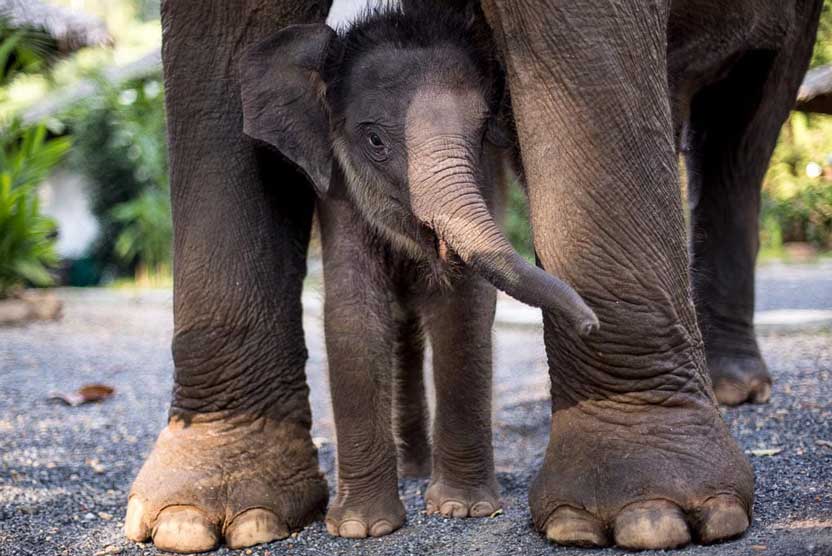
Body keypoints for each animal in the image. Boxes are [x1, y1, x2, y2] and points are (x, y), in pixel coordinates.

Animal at [124, 0, 822, 552]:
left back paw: (733, 390)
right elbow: (352, 313)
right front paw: (359, 530)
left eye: (485, 128)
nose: (590, 319)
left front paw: (464, 511)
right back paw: (410, 468)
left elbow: (462, 306)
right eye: (374, 141)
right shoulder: (339, 193)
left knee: (745, 138)